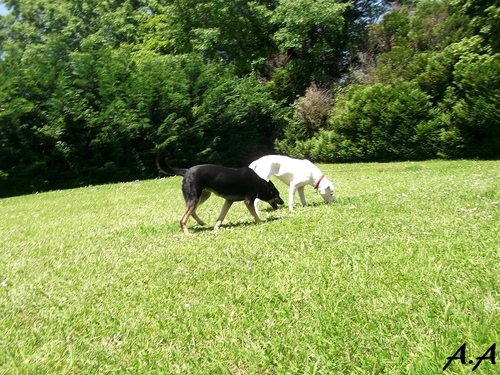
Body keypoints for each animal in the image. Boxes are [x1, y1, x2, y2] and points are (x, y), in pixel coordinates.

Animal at [156, 153, 284, 235]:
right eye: (277, 194)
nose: (283, 202)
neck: (260, 183)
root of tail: (186, 171)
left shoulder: (228, 201)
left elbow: (221, 217)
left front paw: (216, 228)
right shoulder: (248, 201)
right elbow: (255, 215)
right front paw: (260, 223)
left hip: (202, 196)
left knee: (191, 212)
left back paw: (201, 222)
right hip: (194, 198)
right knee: (182, 219)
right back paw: (188, 234)